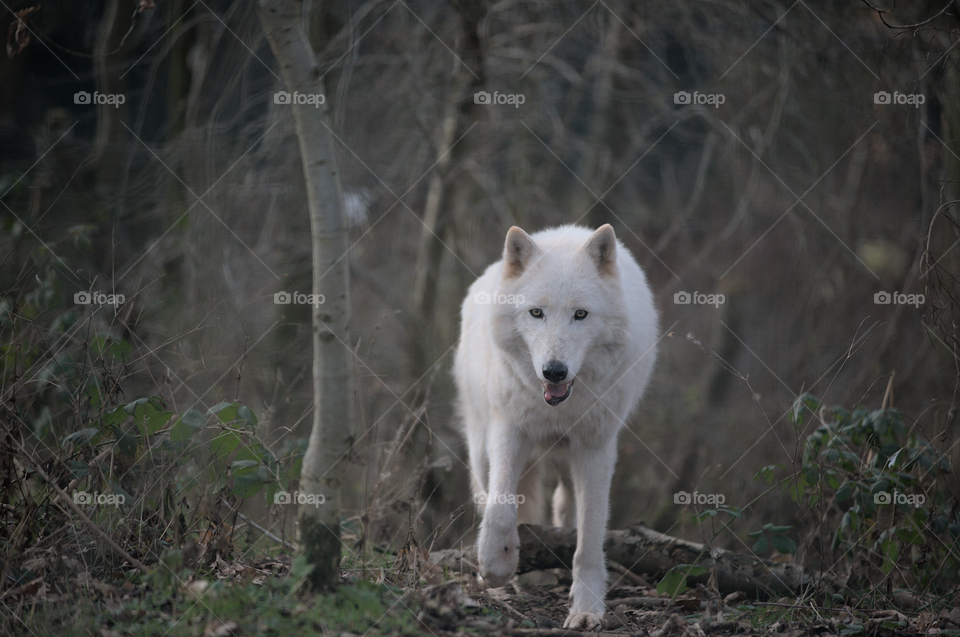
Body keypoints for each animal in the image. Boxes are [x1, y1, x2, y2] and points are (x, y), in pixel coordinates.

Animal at [454, 224, 658, 630]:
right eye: (536, 313)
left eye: (580, 314)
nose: (554, 371)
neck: (557, 409)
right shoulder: (509, 429)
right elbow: (501, 507)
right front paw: (497, 565)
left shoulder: (596, 447)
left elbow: (590, 536)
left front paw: (587, 608)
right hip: (481, 446)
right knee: (493, 496)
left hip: (569, 459)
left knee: (565, 509)